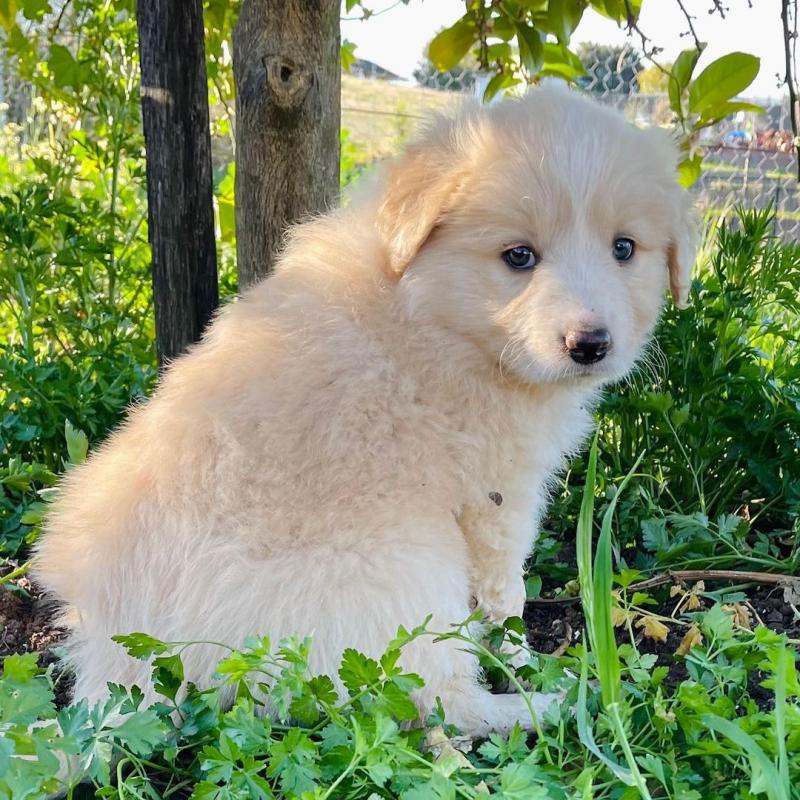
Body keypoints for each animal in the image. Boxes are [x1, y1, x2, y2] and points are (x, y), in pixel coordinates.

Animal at [32, 87, 692, 736]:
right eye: (519, 256)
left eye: (625, 249)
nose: (591, 345)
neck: (433, 309)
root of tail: (119, 667)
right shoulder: (498, 492)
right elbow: (507, 592)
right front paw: (524, 658)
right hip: (406, 568)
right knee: (438, 701)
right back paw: (556, 705)